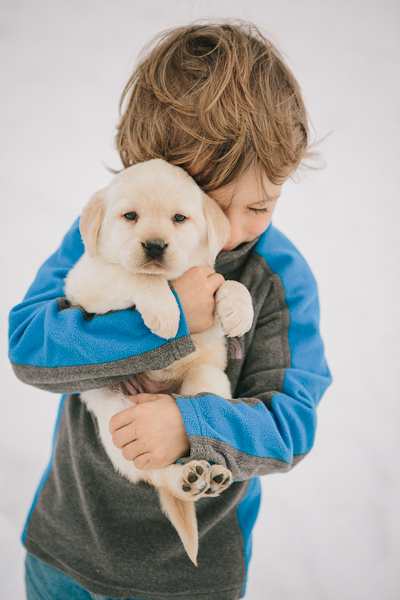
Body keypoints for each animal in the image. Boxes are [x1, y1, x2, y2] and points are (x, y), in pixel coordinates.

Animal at [65, 158, 253, 564]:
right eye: (130, 216)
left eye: (179, 218)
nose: (154, 245)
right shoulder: (86, 278)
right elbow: (131, 273)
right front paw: (167, 311)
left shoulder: (207, 273)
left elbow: (226, 281)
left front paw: (238, 309)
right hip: (114, 417)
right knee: (154, 473)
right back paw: (188, 479)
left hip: (207, 379)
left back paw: (207, 475)